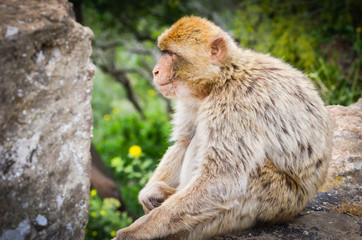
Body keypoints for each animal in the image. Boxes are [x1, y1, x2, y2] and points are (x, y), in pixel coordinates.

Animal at [113, 16, 330, 240]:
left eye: (171, 54)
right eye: (164, 52)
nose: (155, 71)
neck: (222, 77)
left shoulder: (235, 105)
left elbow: (221, 180)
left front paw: (136, 230)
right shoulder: (192, 99)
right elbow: (182, 142)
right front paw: (146, 195)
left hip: (275, 200)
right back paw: (166, 194)